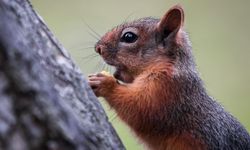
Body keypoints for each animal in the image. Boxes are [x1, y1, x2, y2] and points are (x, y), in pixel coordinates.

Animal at [88, 4, 250, 150]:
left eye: (129, 37)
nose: (98, 48)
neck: (165, 65)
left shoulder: (167, 89)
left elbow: (141, 109)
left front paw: (105, 83)